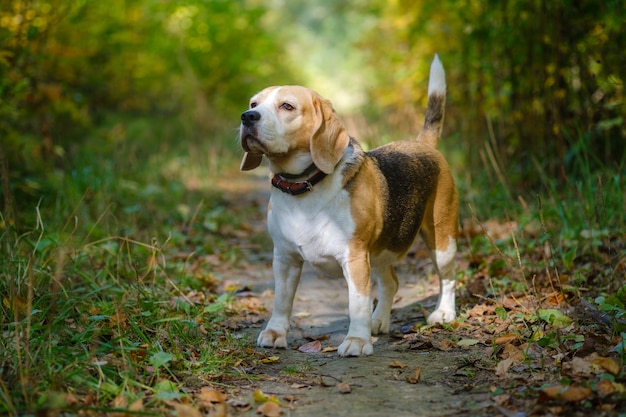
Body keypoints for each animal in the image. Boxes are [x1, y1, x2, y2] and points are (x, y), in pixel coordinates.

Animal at [236, 54, 456, 354]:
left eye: (287, 106)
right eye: (253, 104)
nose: (247, 117)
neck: (304, 186)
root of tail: (423, 145)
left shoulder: (354, 258)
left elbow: (357, 303)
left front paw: (357, 340)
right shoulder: (284, 258)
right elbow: (282, 300)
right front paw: (275, 332)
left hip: (442, 242)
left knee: (448, 278)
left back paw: (444, 313)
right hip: (381, 250)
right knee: (391, 283)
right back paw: (379, 321)